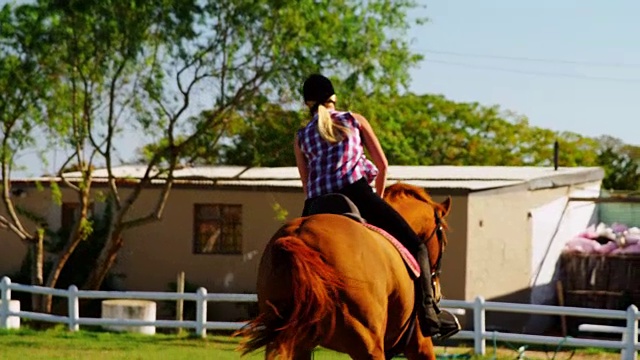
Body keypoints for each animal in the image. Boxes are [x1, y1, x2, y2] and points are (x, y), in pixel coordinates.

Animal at [238, 183, 452, 360]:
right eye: (443, 241)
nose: (438, 292)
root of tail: (298, 237)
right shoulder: (420, 344)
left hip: (289, 342)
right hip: (367, 344)